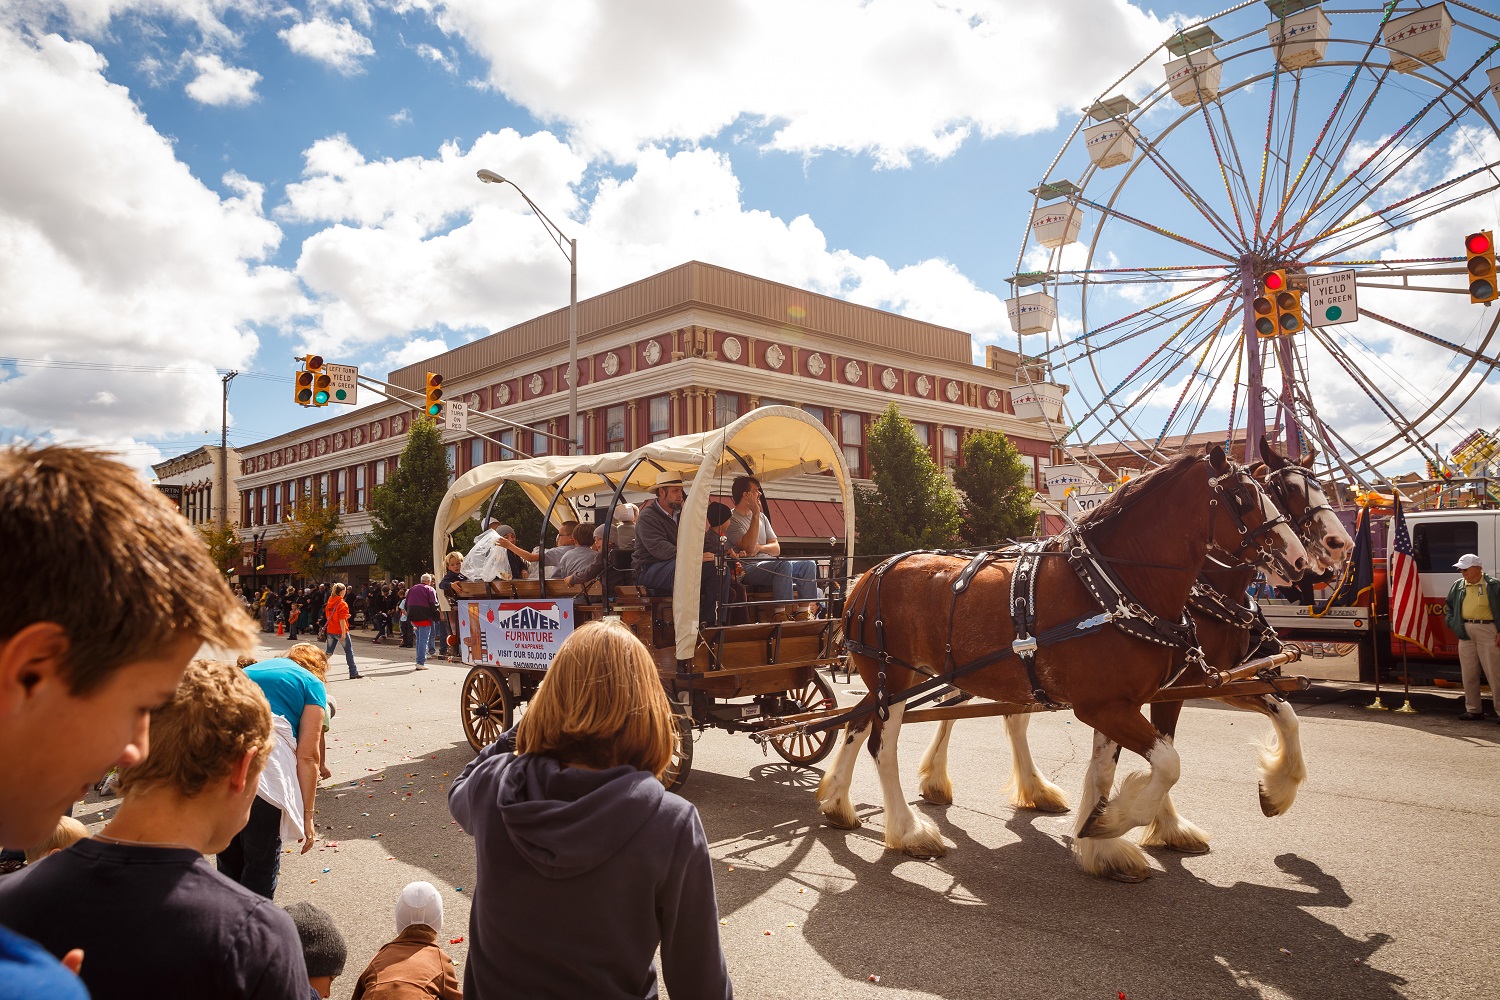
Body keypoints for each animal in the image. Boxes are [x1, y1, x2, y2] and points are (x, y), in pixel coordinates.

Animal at [816, 449, 1308, 881]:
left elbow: (1110, 769)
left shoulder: (1129, 700)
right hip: (896, 676)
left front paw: (1103, 846)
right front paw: (1115, 822)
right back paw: (908, 831)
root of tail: (866, 577)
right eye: (1243, 497)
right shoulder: (1107, 705)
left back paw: (838, 802)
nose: (1301, 558)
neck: (1116, 585)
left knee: (856, 723)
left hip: (901, 680)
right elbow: (1168, 763)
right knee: (882, 745)